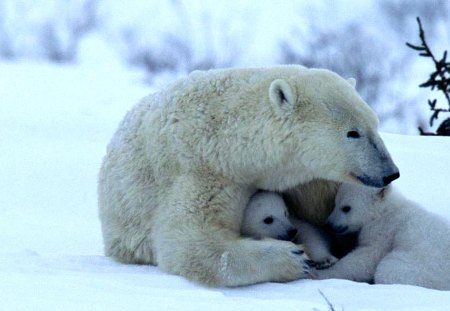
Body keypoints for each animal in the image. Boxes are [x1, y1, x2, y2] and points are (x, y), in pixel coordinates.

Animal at [99, 65, 400, 288]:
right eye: (353, 132)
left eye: (375, 124)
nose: (391, 173)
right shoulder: (203, 170)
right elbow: (190, 243)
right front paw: (291, 258)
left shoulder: (306, 179)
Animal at [316, 184, 450, 292]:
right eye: (335, 203)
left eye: (346, 208)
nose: (328, 224)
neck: (385, 210)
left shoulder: (384, 230)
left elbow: (367, 258)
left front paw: (320, 274)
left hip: (424, 266)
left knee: (388, 270)